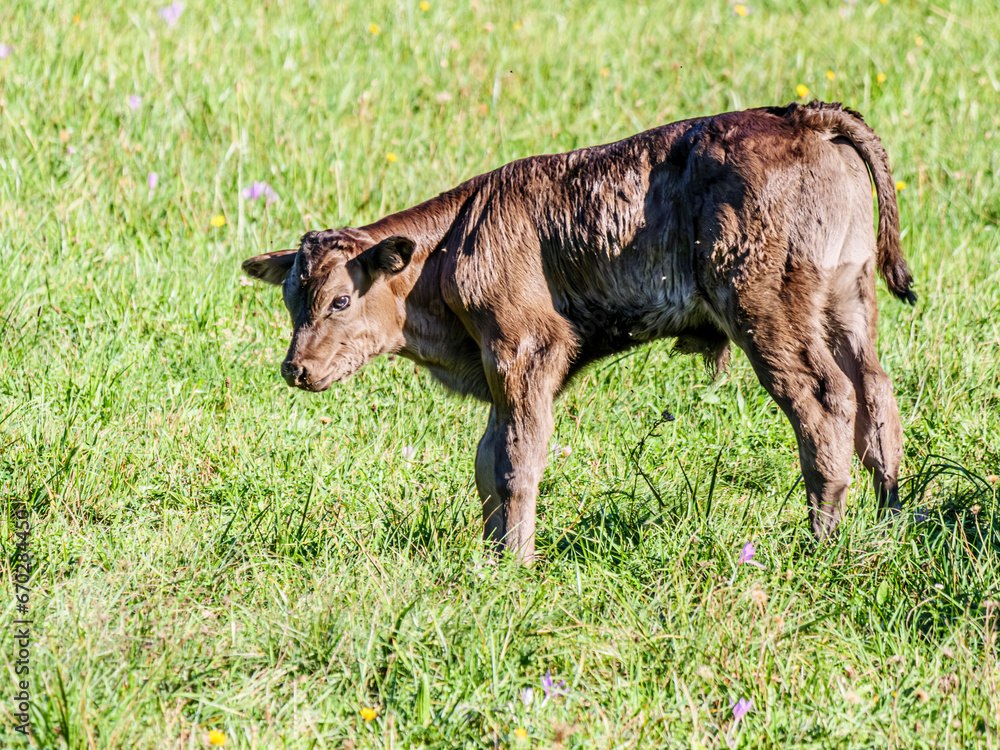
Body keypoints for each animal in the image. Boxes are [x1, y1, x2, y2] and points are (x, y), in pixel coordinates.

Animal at [243, 101, 916, 564]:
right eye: (291, 300)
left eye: (339, 300)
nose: (295, 368)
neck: (453, 242)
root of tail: (805, 117)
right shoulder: (501, 374)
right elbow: (488, 462)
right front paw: (492, 556)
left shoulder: (526, 354)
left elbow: (516, 461)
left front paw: (515, 562)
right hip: (848, 307)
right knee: (876, 398)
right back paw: (891, 520)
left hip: (768, 316)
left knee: (824, 403)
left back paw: (821, 538)